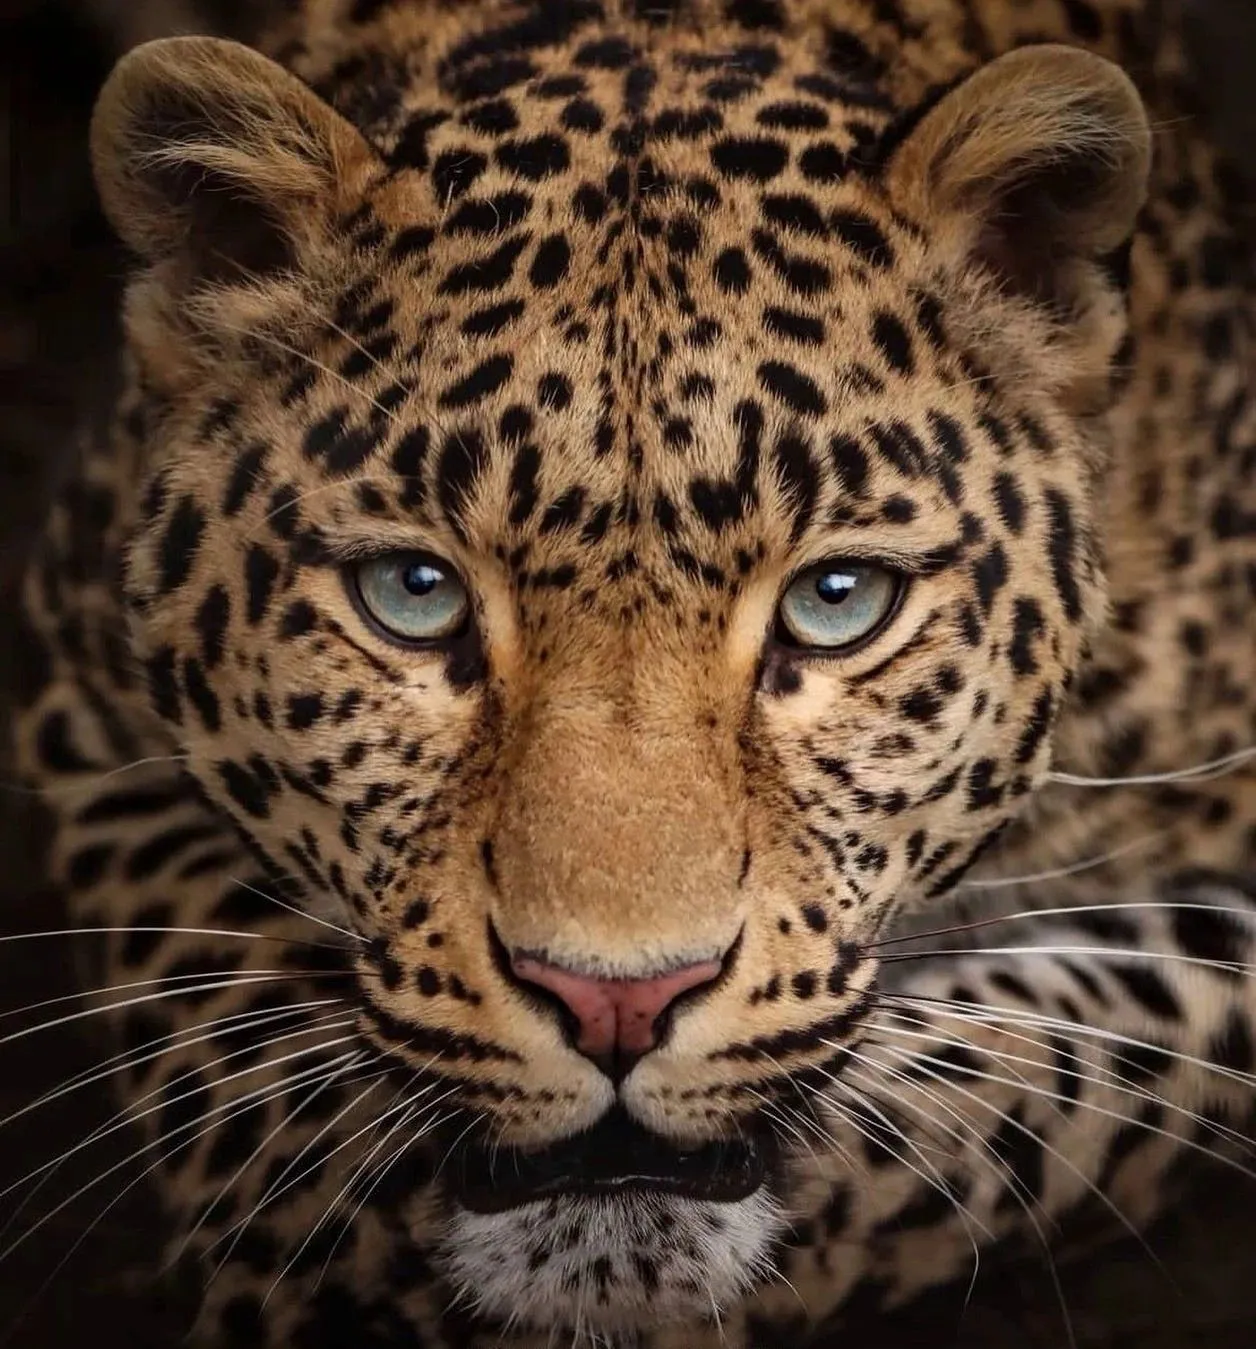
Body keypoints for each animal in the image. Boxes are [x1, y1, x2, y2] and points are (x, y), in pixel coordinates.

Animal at [8, 0, 1256, 1345]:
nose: (615, 1000)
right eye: (412, 591)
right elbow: (230, 1064)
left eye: (835, 602)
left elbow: (1059, 1075)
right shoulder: (81, 712)